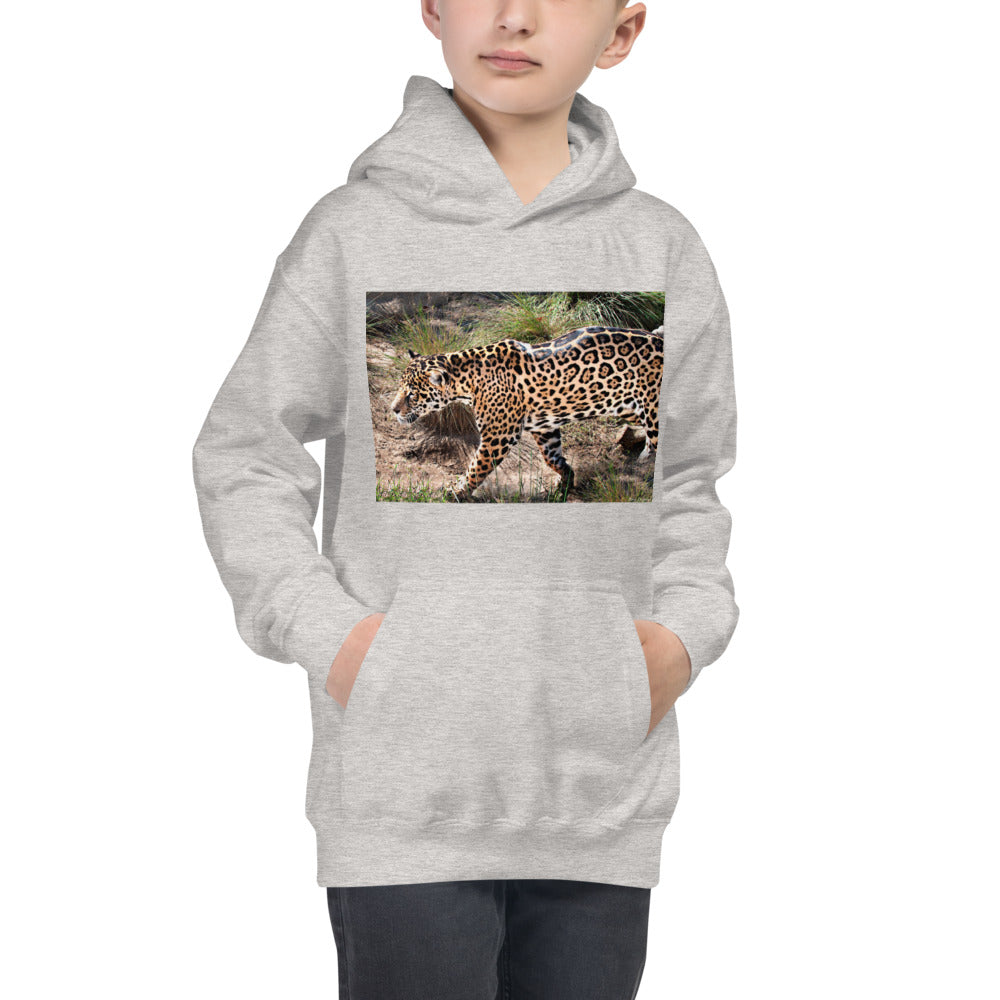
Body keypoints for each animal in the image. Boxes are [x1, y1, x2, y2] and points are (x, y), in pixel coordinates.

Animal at [387, 325, 664, 502]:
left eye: (411, 394)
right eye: (401, 387)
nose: (393, 409)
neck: (466, 381)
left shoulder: (497, 438)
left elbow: (476, 467)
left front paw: (457, 492)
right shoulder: (545, 428)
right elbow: (552, 458)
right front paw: (565, 482)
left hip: (653, 411)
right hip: (630, 406)